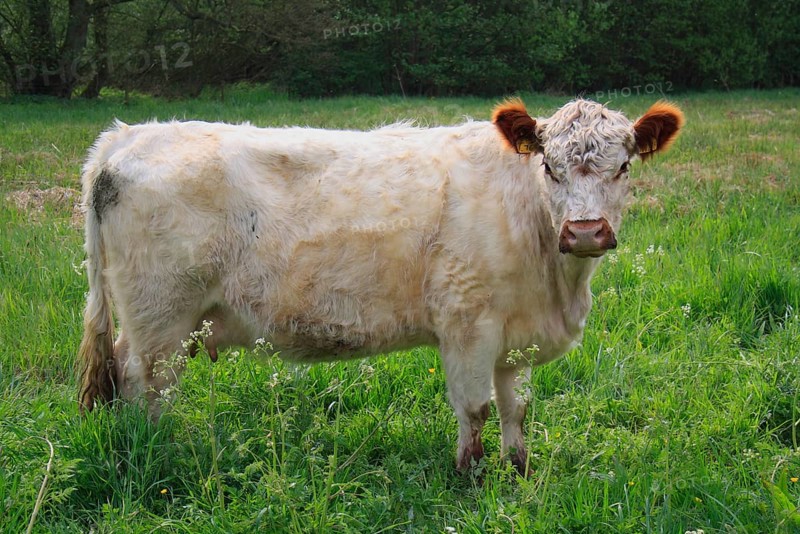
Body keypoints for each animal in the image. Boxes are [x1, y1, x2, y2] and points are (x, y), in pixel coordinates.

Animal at [78, 98, 683, 475]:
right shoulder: (467, 323)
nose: (584, 231)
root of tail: (130, 135)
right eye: (550, 168)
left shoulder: (516, 335)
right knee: (143, 383)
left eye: (624, 167)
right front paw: (470, 477)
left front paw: (519, 470)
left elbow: (517, 409)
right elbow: (475, 408)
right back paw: (158, 451)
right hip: (160, 317)